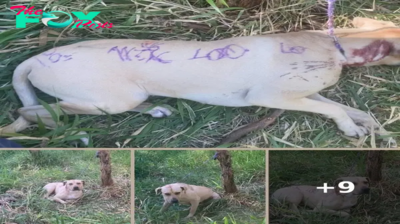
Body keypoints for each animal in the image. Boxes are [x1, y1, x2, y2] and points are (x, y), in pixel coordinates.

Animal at [0, 17, 398, 144]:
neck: (333, 45)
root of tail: (34, 58)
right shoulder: (271, 95)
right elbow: (336, 111)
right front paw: (352, 128)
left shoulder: (309, 93)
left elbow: (346, 108)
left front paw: (373, 128)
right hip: (111, 100)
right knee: (32, 111)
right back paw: (76, 133)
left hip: (124, 96)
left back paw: (156, 109)